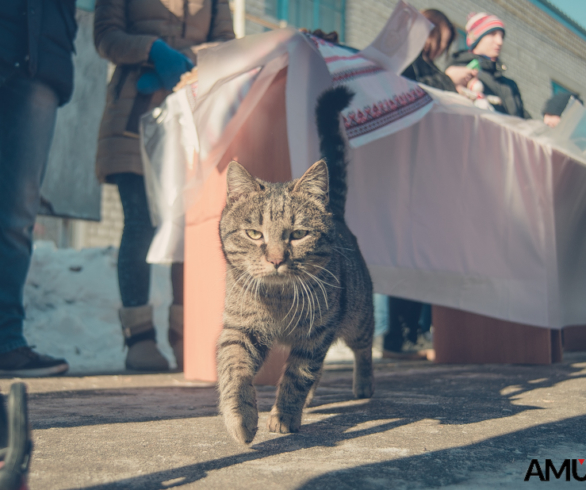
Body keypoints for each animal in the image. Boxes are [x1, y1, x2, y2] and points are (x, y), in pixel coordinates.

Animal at [217, 86, 372, 446]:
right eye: (254, 233)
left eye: (298, 234)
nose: (276, 259)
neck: (279, 299)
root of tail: (336, 213)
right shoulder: (240, 328)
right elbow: (234, 370)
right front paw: (241, 417)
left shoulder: (316, 332)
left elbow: (296, 377)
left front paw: (285, 416)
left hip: (356, 316)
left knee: (363, 348)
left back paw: (364, 385)